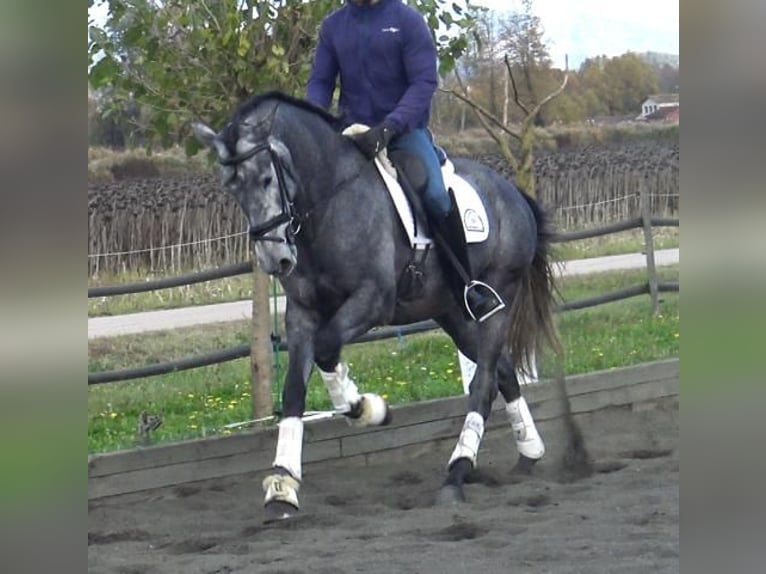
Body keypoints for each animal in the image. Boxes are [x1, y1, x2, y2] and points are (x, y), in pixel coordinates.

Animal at [194, 91, 564, 520]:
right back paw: (529, 452)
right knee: (503, 371)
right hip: (453, 313)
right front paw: (283, 484)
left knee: (485, 381)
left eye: (267, 178)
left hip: (496, 299)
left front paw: (366, 407)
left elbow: (327, 349)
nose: (275, 260)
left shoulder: (372, 300)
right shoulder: (302, 312)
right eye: (232, 187)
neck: (329, 202)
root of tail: (513, 193)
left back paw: (457, 474)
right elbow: (294, 390)